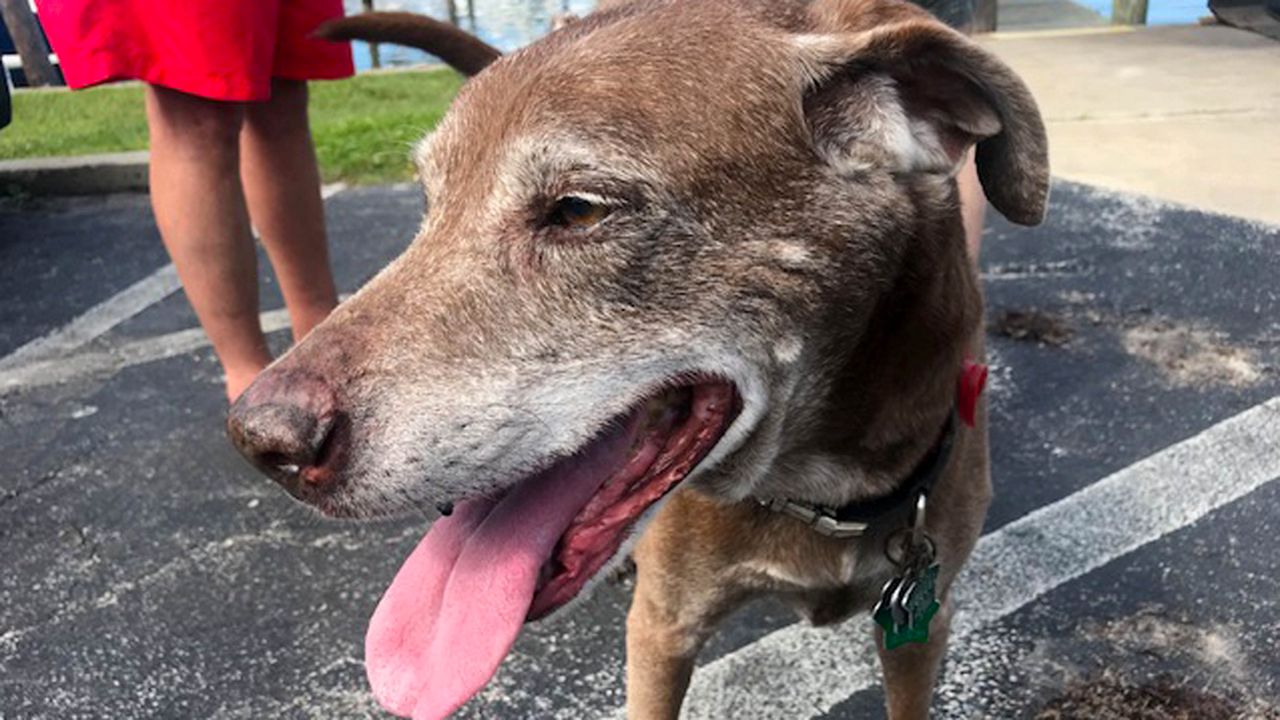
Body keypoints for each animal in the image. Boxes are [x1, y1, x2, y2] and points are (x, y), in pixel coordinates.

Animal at [227, 2, 1049, 712]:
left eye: (578, 210)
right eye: (431, 206)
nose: (260, 441)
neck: (819, 494)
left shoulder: (922, 631)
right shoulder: (662, 632)